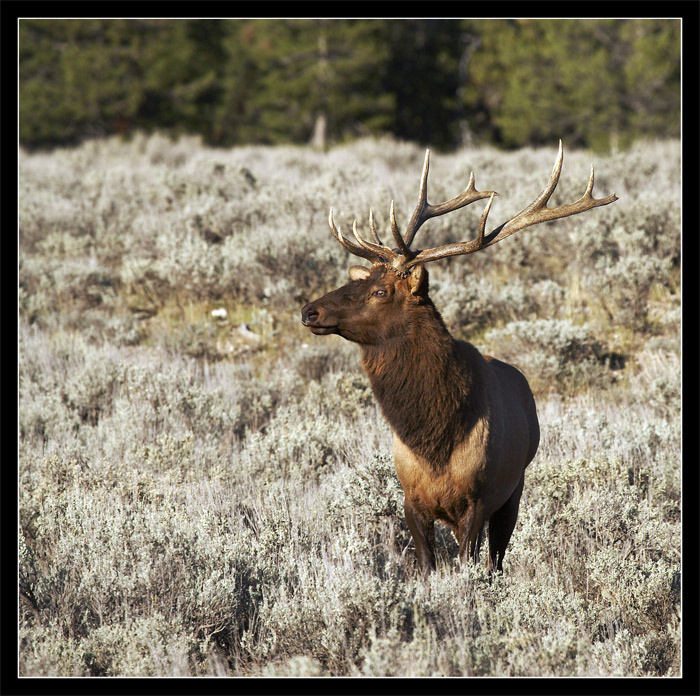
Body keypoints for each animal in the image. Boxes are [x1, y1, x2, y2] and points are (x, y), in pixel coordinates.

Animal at [301, 142, 617, 574]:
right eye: (360, 279)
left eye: (381, 291)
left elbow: (471, 563)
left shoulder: (478, 500)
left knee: (496, 559)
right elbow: (426, 568)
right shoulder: (412, 500)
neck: (433, 440)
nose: (309, 311)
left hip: (514, 490)